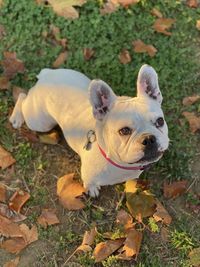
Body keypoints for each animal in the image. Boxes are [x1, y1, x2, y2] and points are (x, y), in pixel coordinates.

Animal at [9, 65, 169, 197]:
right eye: (124, 131)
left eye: (160, 121)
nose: (148, 138)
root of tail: (47, 75)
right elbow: (90, 183)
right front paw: (91, 189)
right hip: (39, 122)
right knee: (23, 97)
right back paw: (16, 118)